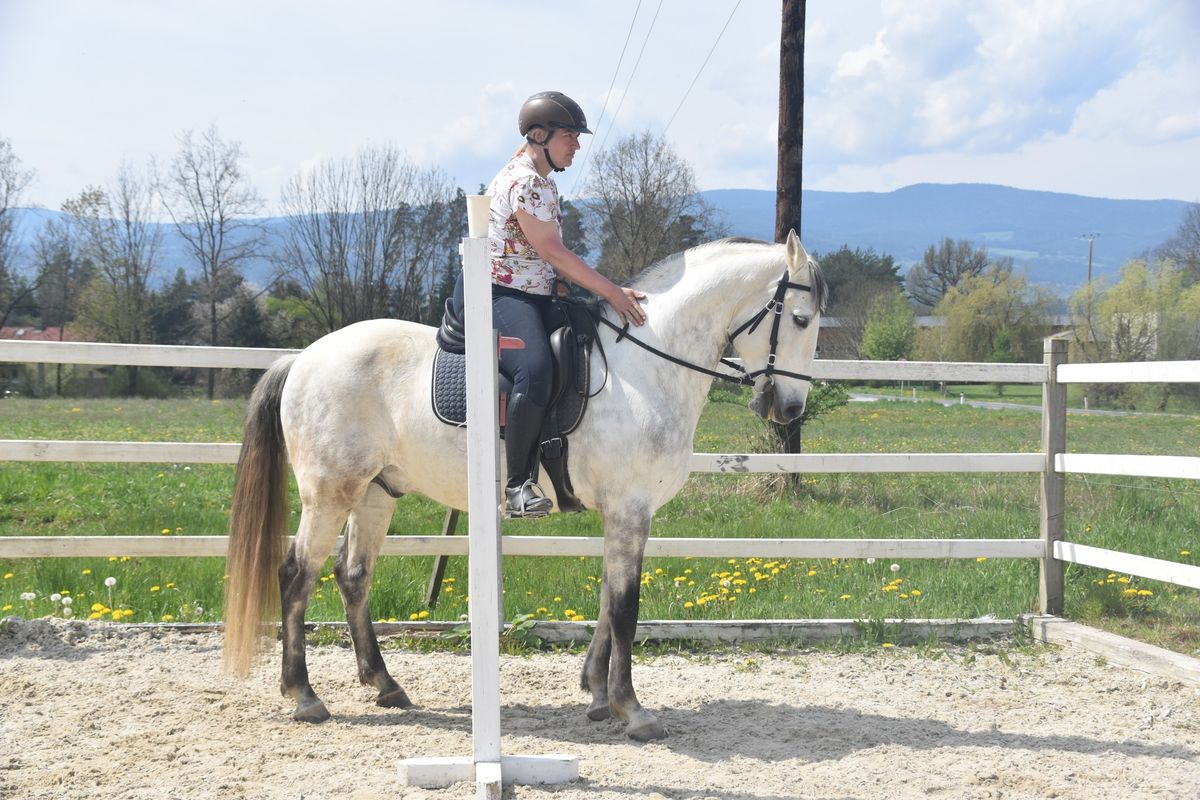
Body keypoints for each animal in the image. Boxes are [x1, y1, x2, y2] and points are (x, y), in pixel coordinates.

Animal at [223, 227, 825, 743]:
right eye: (799, 319)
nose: (790, 409)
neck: (644, 368)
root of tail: (305, 357)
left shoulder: (623, 513)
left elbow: (607, 596)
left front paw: (596, 693)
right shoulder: (630, 507)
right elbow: (625, 606)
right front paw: (632, 708)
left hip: (375, 493)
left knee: (353, 576)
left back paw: (385, 684)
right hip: (330, 493)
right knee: (296, 574)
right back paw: (304, 695)